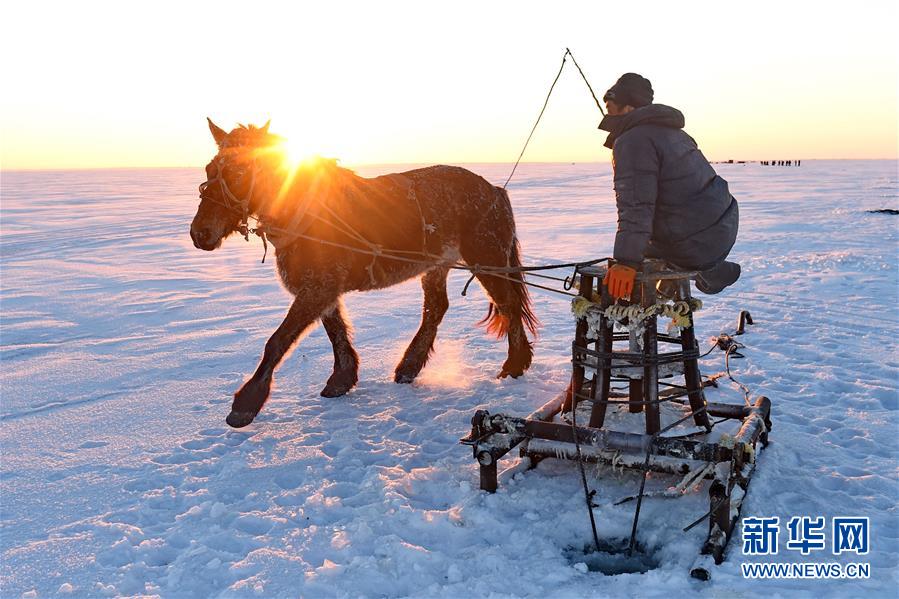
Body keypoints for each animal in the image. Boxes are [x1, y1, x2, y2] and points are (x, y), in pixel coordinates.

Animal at [191, 119, 536, 428]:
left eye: (239, 173)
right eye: (209, 170)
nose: (200, 233)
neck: (306, 211)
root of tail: (494, 190)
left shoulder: (318, 287)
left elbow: (278, 341)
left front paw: (246, 403)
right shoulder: (321, 288)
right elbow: (335, 330)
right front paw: (342, 378)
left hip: (487, 260)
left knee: (508, 304)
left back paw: (514, 364)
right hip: (437, 266)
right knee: (436, 308)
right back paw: (410, 366)